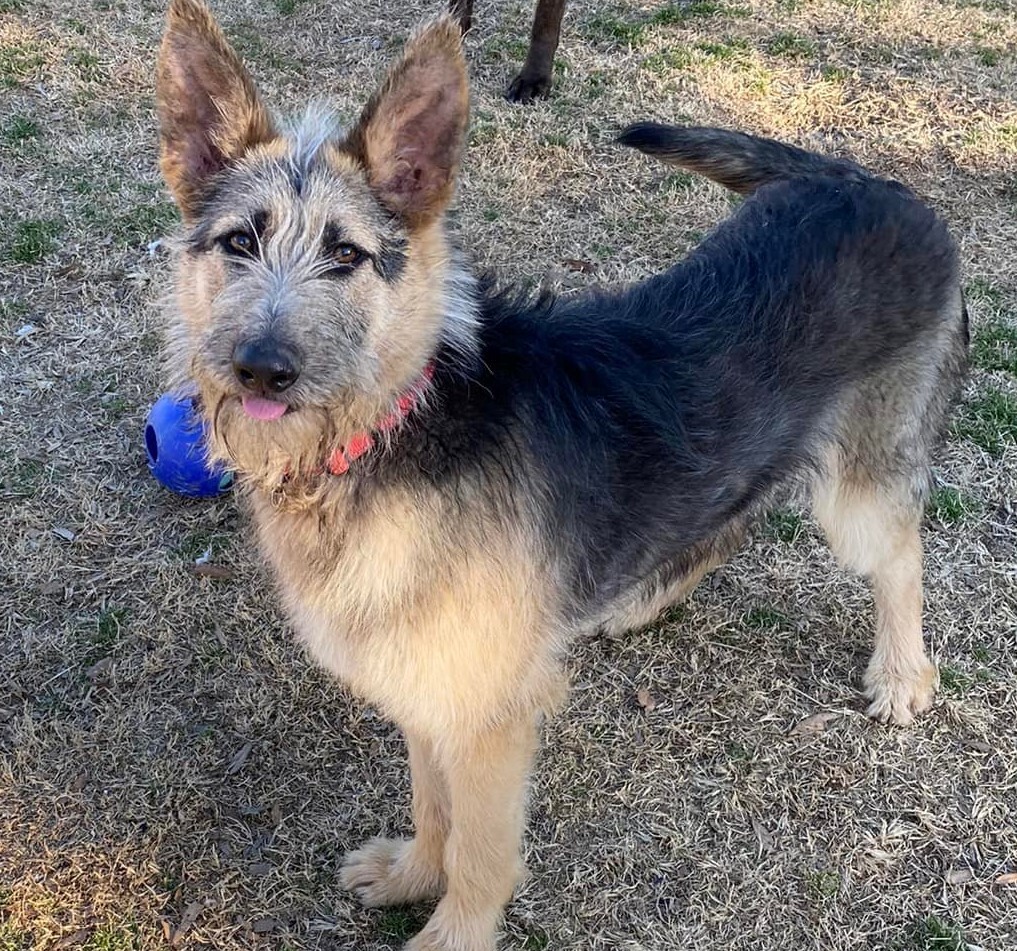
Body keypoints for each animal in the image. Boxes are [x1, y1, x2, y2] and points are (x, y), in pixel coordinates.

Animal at [154, 3, 964, 947]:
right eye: (239, 241)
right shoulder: (428, 683)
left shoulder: (489, 717)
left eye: (347, 255)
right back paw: (645, 599)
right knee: (729, 514)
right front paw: (412, 872)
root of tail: (869, 182)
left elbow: (478, 851)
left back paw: (903, 673)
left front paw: (452, 929)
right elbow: (432, 805)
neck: (399, 427)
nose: (261, 368)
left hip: (858, 483)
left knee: (899, 553)